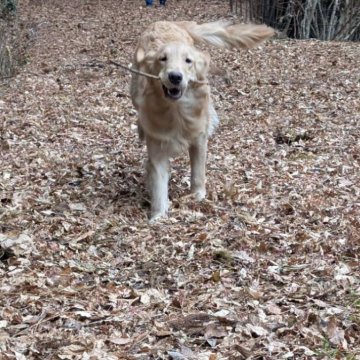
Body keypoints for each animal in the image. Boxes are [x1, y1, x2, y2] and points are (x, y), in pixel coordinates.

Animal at [131, 21, 274, 222]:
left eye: (188, 61)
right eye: (162, 59)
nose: (175, 76)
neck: (176, 111)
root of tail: (164, 21)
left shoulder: (198, 137)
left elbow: (198, 171)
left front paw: (198, 196)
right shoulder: (157, 145)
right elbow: (159, 184)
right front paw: (158, 216)